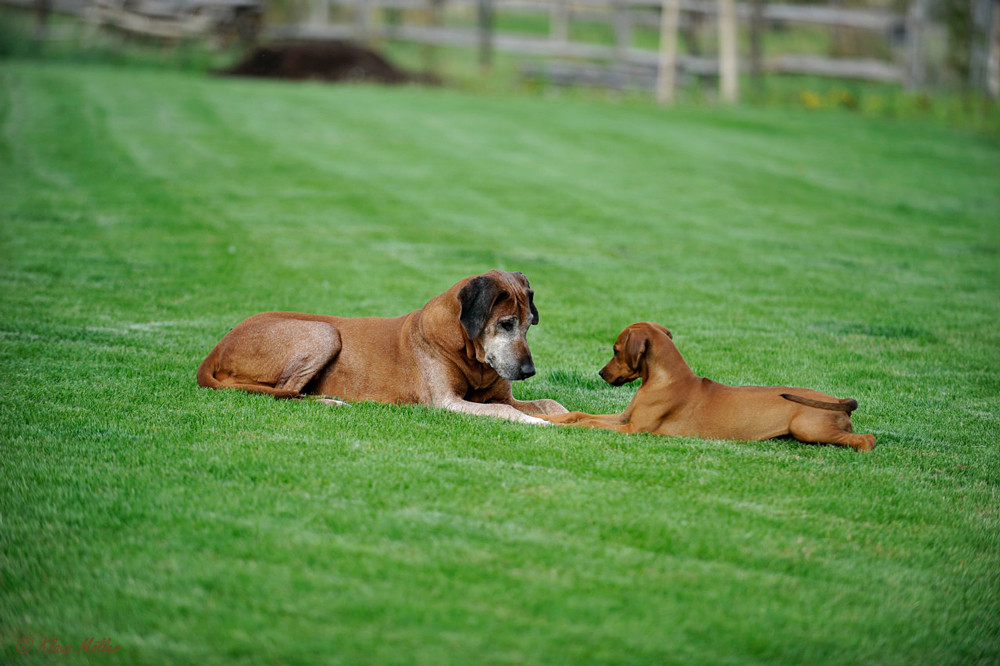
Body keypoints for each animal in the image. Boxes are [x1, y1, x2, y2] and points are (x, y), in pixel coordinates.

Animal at [197, 268, 572, 422]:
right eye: (505, 324)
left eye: (528, 324)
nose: (529, 370)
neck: (469, 354)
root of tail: (220, 345)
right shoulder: (448, 402)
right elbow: (506, 411)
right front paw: (538, 424)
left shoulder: (502, 395)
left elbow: (550, 404)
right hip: (325, 332)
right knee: (284, 392)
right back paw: (331, 402)